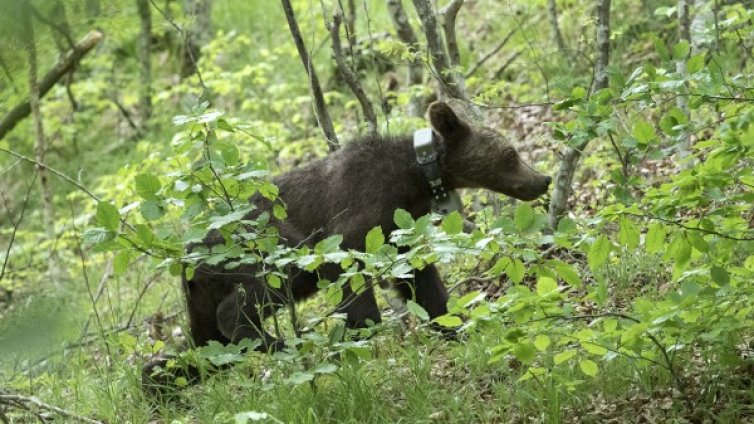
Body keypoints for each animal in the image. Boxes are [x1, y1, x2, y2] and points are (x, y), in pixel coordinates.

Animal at [142, 101, 548, 390]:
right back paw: (276, 342)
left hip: (202, 298)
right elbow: (351, 279)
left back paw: (161, 378)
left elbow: (420, 282)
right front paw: (359, 333)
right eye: (511, 154)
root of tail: (187, 259)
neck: (415, 179)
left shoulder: (400, 232)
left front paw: (454, 323)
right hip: (264, 250)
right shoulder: (352, 220)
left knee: (202, 347)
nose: (542, 179)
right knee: (243, 303)